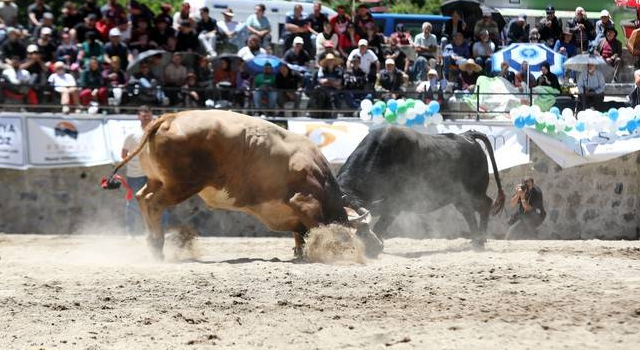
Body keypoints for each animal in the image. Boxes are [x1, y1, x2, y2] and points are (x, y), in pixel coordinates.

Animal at [107, 109, 382, 260]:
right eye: (365, 230)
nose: (379, 246)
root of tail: (170, 117)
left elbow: (300, 234)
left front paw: (301, 252)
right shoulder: (305, 201)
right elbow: (318, 228)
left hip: (158, 180)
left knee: (142, 197)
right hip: (182, 185)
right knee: (153, 204)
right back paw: (157, 246)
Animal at [338, 126, 508, 246]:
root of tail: (467, 135)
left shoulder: (396, 203)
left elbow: (380, 226)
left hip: (474, 190)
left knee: (485, 204)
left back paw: (481, 239)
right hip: (458, 196)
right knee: (468, 213)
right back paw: (475, 239)